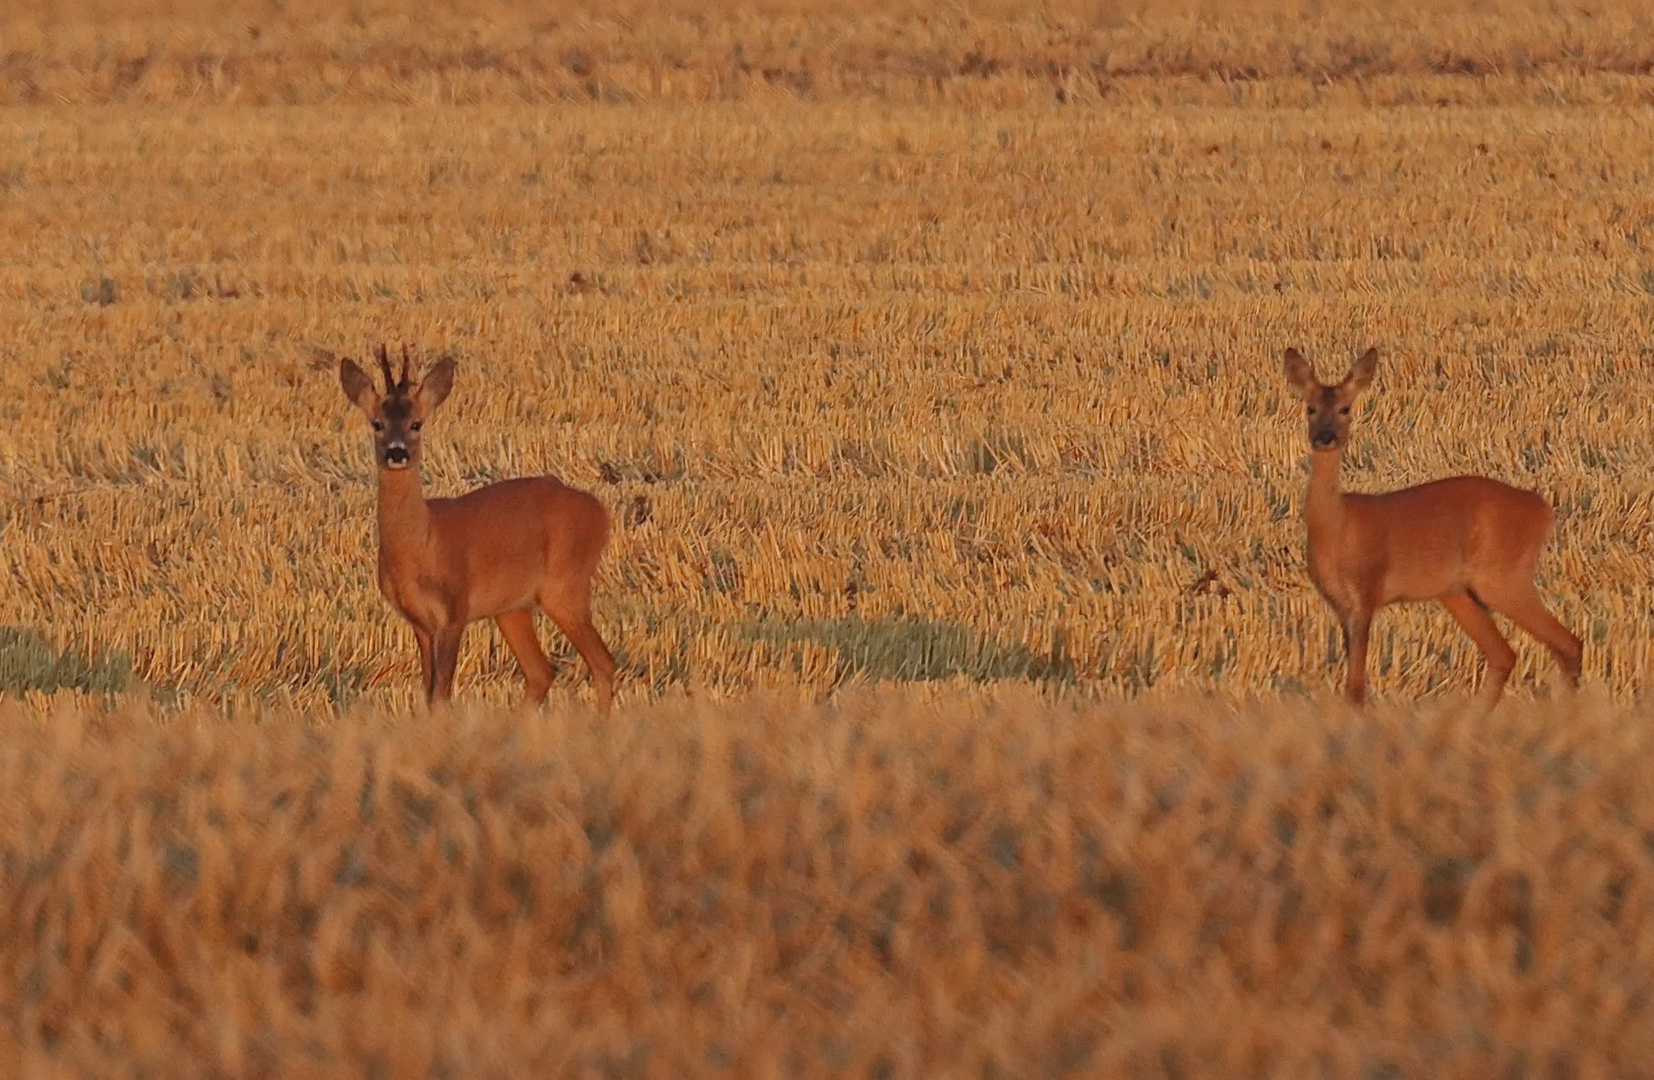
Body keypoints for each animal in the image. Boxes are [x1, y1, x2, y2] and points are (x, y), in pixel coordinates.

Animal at [339, 345, 618, 711]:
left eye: (416, 424)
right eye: (377, 424)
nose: (396, 453)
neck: (421, 547)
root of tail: (599, 511)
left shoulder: (453, 612)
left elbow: (441, 694)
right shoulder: (419, 622)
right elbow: (428, 693)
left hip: (565, 585)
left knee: (602, 663)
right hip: (512, 607)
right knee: (541, 672)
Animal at [1283, 345, 1581, 707]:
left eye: (1345, 408)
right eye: (1310, 408)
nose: (1324, 436)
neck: (1337, 527)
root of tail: (1542, 508)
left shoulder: (1367, 590)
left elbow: (1356, 687)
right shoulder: (1338, 604)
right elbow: (1350, 685)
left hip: (1504, 576)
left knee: (1568, 644)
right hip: (1459, 591)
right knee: (1505, 655)